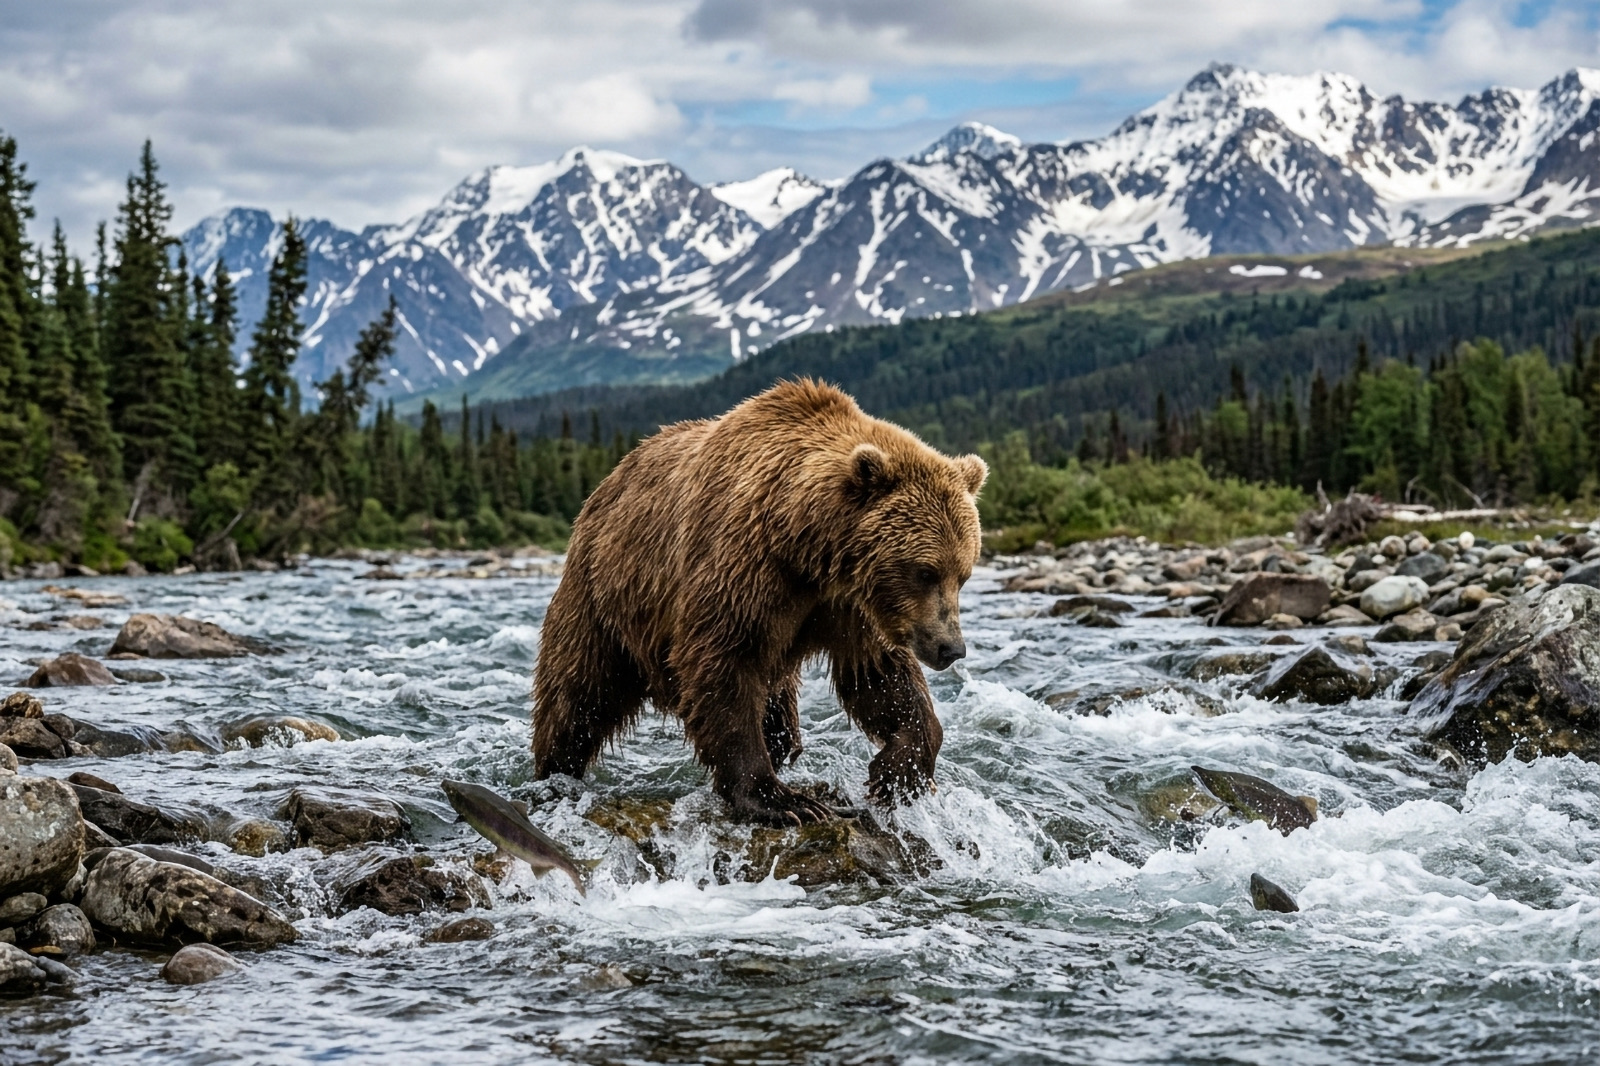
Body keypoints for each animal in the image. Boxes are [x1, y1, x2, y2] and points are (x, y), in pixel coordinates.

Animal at [531, 379, 988, 826]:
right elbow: (721, 663)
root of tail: (606, 484)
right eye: (925, 571)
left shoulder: (850, 606)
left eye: (963, 574)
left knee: (778, 715)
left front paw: (897, 774)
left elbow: (881, 677)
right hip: (603, 594)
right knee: (578, 692)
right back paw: (554, 772)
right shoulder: (745, 568)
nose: (951, 648)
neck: (808, 547)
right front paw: (782, 800)